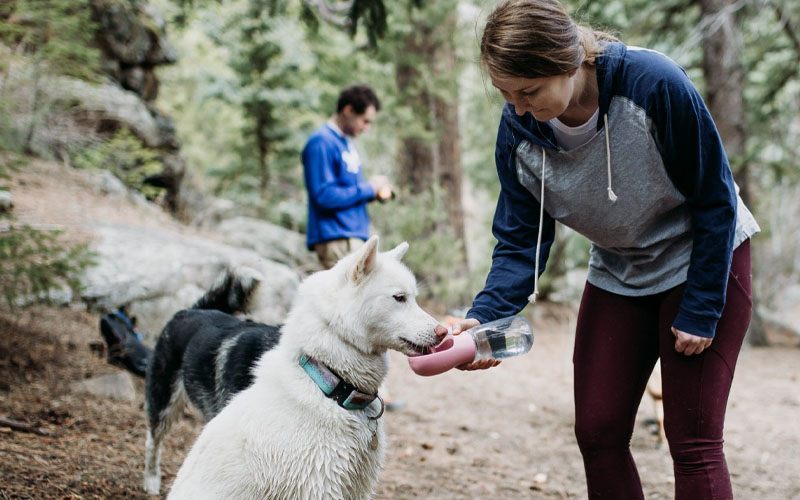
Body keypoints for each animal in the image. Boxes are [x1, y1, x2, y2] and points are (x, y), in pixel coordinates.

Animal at [166, 237, 440, 500]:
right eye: (399, 297)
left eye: (414, 297)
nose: (442, 331)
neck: (330, 385)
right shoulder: (320, 488)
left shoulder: (357, 487)